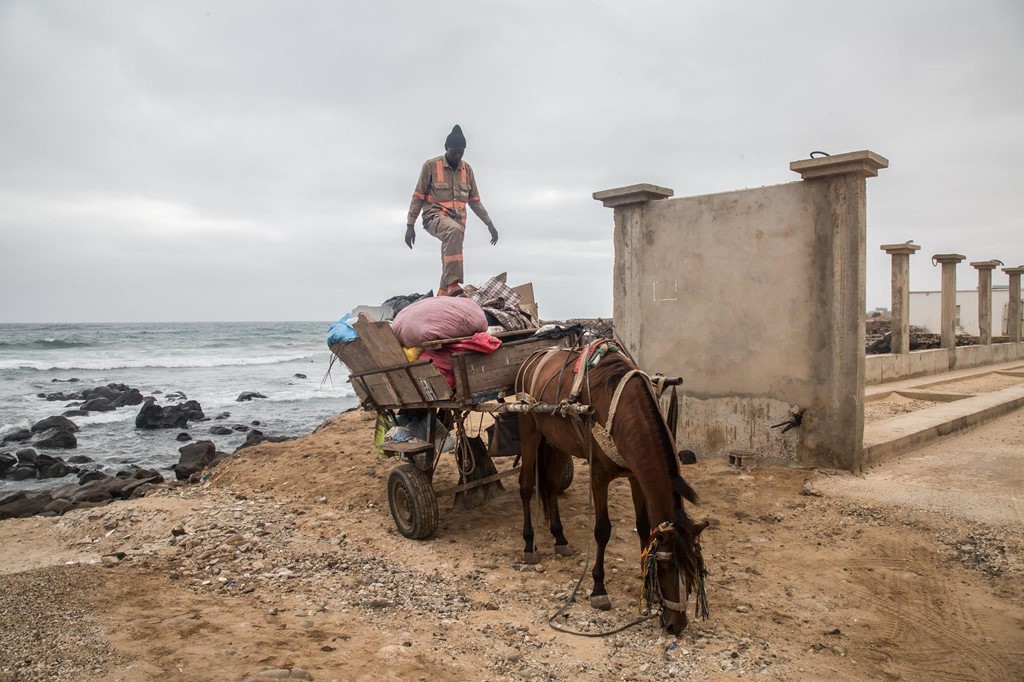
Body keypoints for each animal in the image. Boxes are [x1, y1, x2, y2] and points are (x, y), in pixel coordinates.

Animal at [516, 346, 708, 630]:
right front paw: (599, 589)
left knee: (550, 486)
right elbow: (602, 531)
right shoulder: (599, 476)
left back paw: (560, 538)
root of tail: (535, 354)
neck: (624, 411)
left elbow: (643, 528)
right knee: (527, 486)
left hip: (557, 440)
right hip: (529, 430)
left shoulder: (635, 476)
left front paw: (647, 588)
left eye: (693, 567)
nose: (677, 625)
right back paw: (529, 544)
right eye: (665, 568)